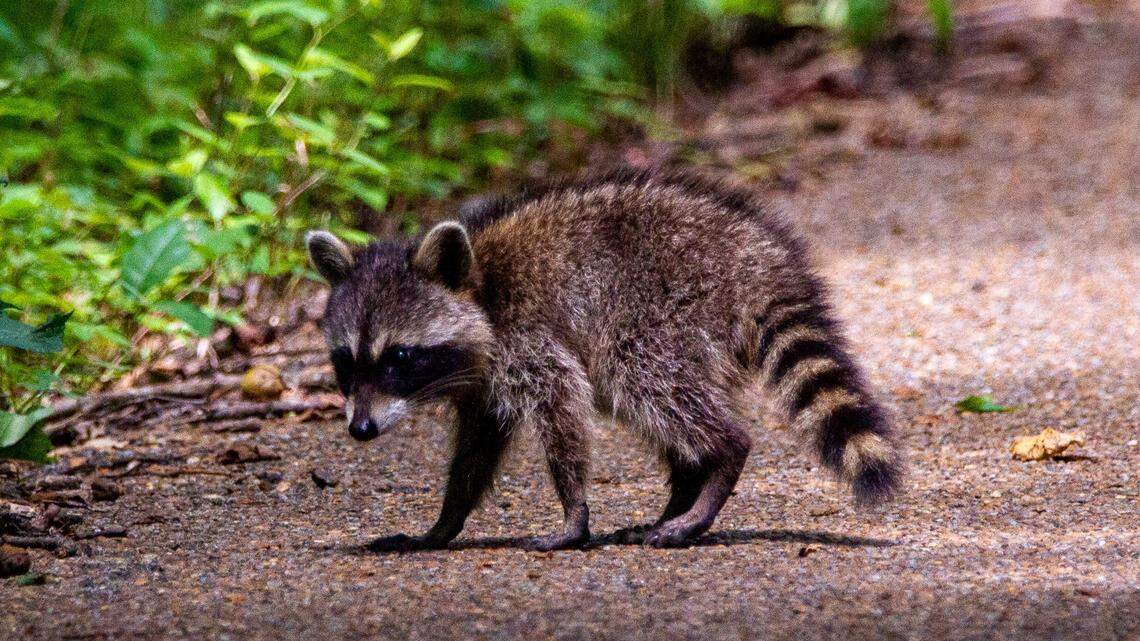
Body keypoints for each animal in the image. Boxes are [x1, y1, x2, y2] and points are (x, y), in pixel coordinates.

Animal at [306, 169, 901, 551]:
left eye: (399, 356)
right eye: (346, 363)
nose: (360, 429)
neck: (480, 289)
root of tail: (757, 259)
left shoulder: (526, 339)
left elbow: (563, 405)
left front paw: (574, 513)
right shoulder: (483, 382)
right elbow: (476, 448)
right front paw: (443, 523)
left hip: (663, 309)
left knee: (644, 382)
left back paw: (714, 469)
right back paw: (683, 490)